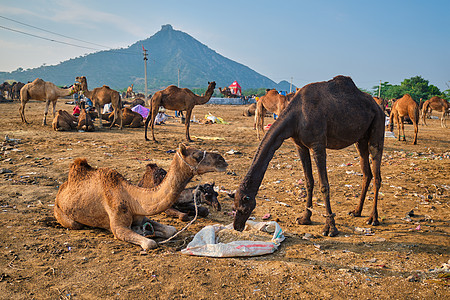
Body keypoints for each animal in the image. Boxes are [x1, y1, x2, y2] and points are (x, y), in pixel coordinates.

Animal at [54, 144, 227, 250]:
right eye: (197, 155)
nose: (222, 160)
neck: (132, 198)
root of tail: (61, 190)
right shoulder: (118, 227)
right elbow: (150, 243)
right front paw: (147, 235)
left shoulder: (143, 216)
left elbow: (170, 230)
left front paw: (149, 231)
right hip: (62, 214)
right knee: (75, 224)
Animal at [234, 76, 384, 238]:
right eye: (234, 206)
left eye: (244, 208)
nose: (237, 226)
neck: (296, 116)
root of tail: (379, 108)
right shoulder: (300, 145)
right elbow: (308, 181)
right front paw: (305, 218)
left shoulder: (317, 145)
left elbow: (324, 185)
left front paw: (330, 228)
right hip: (360, 138)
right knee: (366, 172)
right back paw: (356, 211)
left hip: (378, 126)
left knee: (377, 174)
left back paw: (373, 218)